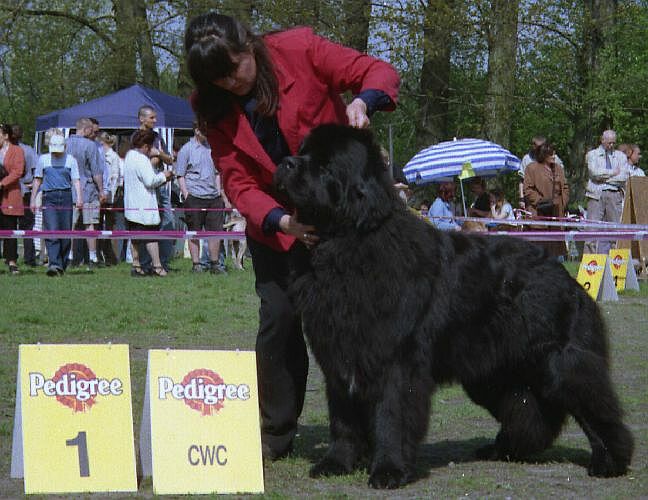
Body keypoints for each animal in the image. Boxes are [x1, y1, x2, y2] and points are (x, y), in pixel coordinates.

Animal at [272, 124, 632, 488]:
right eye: (302, 153)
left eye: (324, 167)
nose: (286, 162)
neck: (349, 244)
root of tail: (563, 274)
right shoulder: (339, 356)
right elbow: (342, 418)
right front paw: (337, 462)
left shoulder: (397, 359)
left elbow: (392, 414)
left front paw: (388, 469)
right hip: (494, 371)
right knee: (531, 411)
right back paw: (505, 448)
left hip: (560, 362)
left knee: (594, 406)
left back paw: (609, 461)